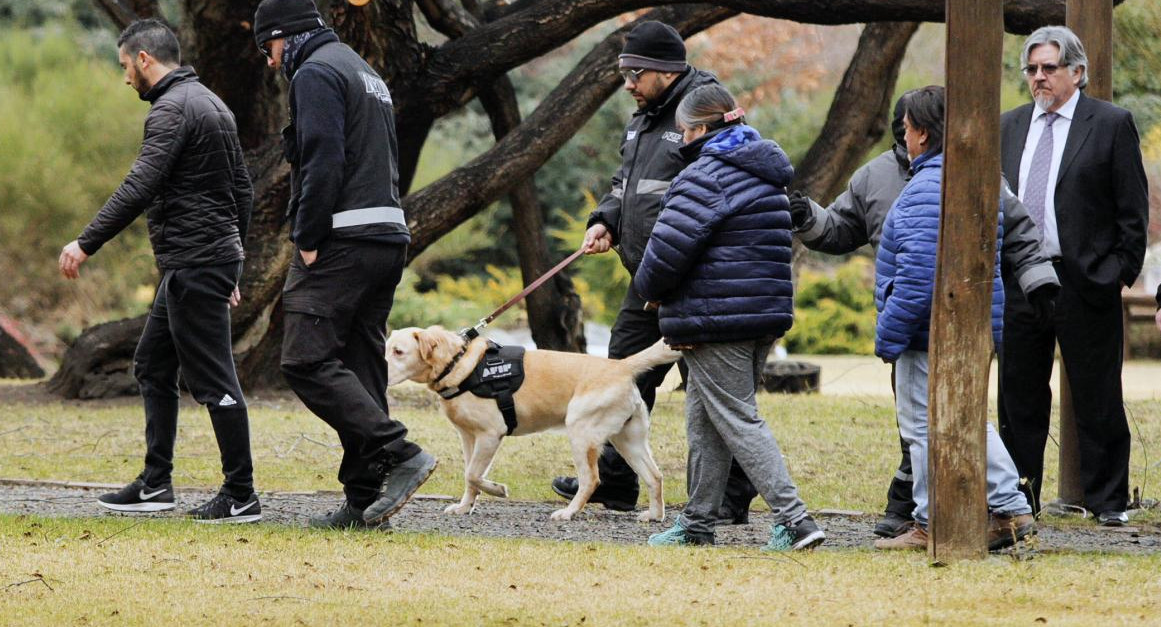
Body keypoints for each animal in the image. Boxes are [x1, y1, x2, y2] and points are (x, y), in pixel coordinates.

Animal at [390, 325, 678, 522]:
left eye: (398, 351)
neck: (459, 364)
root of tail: (621, 367)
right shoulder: (468, 437)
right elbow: (470, 476)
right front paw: (465, 506)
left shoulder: (491, 434)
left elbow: (472, 474)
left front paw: (498, 490)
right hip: (628, 440)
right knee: (655, 476)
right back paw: (654, 515)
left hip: (581, 433)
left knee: (591, 480)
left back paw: (568, 512)